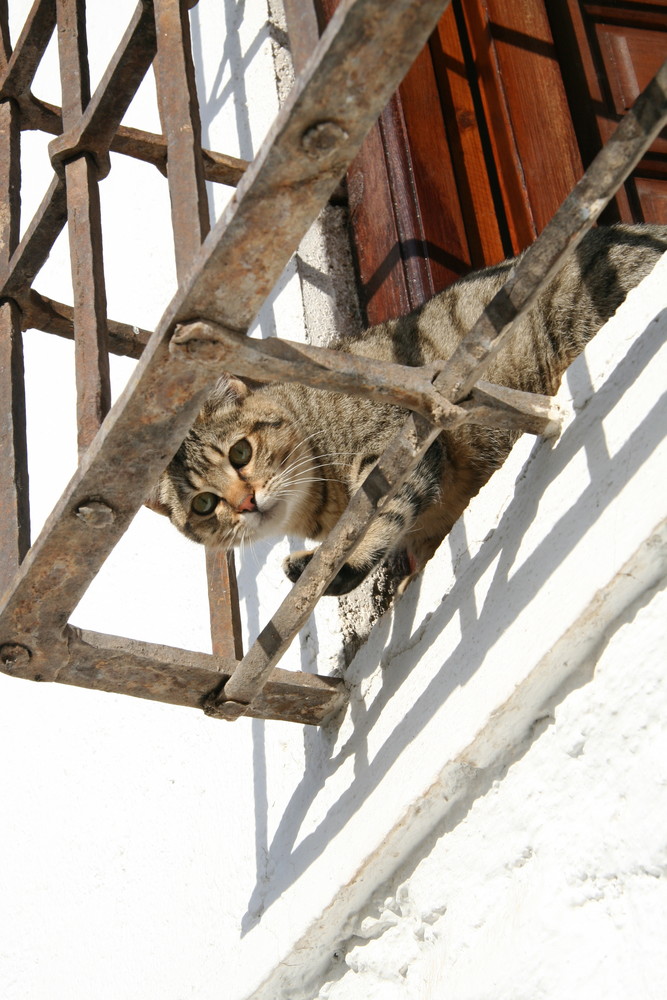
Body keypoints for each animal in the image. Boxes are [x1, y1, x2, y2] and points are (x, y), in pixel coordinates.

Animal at [149, 227, 664, 592]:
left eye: (240, 453)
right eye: (203, 504)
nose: (245, 502)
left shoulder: (399, 442)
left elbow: (384, 516)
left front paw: (345, 563)